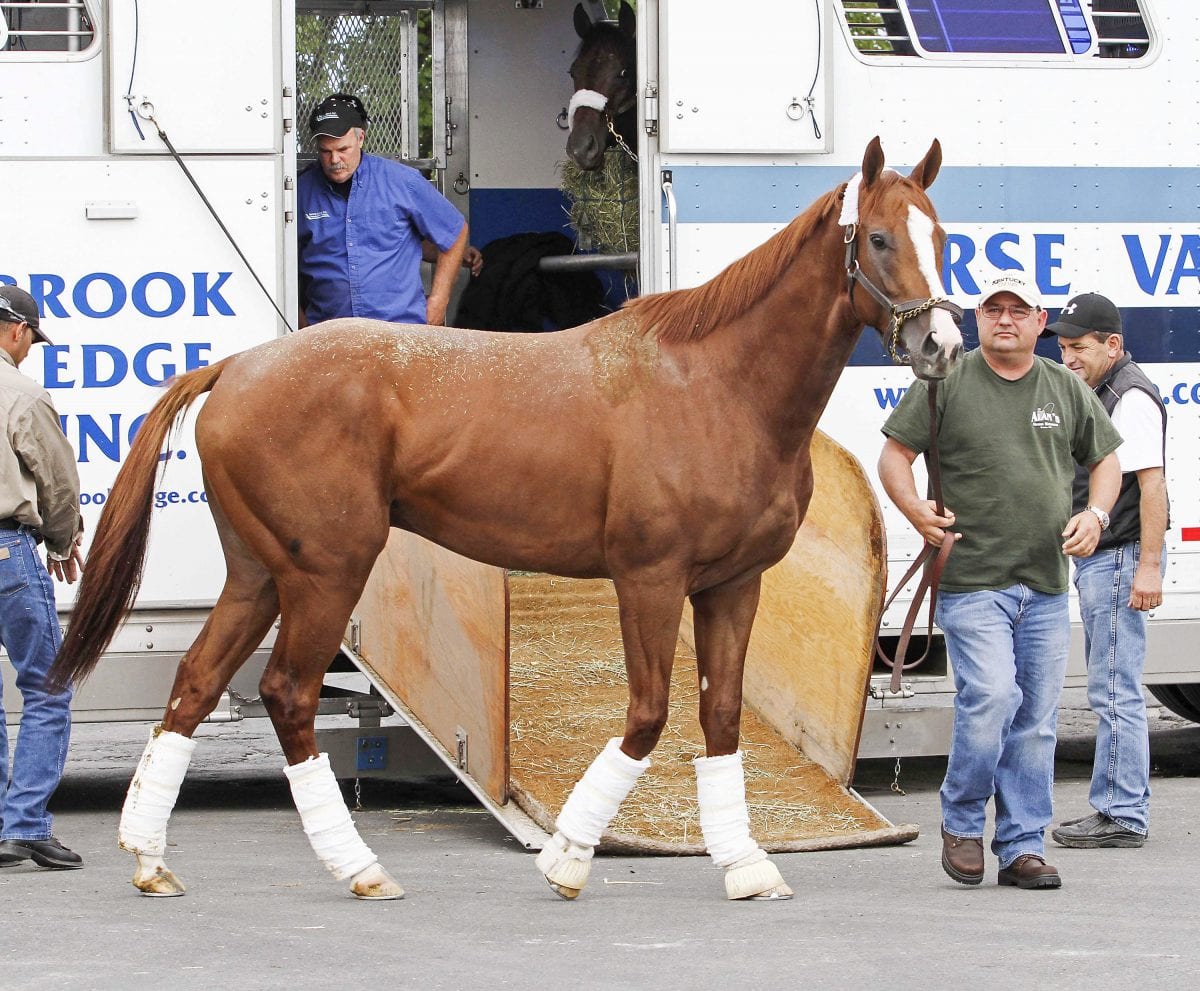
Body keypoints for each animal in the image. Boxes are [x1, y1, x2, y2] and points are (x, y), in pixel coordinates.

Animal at [49, 139, 964, 902]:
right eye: (879, 239)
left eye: (942, 234)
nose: (942, 345)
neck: (713, 384)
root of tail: (237, 367)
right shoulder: (650, 579)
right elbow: (649, 713)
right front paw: (568, 858)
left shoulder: (732, 585)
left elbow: (721, 717)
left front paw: (745, 865)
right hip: (323, 574)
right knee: (289, 695)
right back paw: (360, 867)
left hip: (259, 575)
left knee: (195, 684)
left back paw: (151, 857)